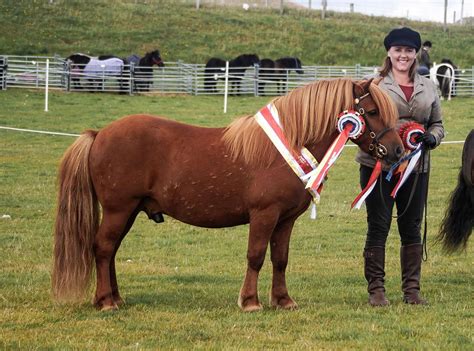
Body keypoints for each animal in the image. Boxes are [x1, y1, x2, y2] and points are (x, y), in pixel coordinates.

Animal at [52, 78, 404, 312]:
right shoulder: (264, 214)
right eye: (372, 110)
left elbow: (280, 259)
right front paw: (250, 301)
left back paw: (114, 297)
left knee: (109, 251)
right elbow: (256, 256)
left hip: (128, 211)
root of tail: (99, 134)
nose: (399, 151)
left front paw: (283, 300)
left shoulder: (285, 220)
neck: (288, 147)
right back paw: (106, 301)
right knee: (103, 248)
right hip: (118, 210)